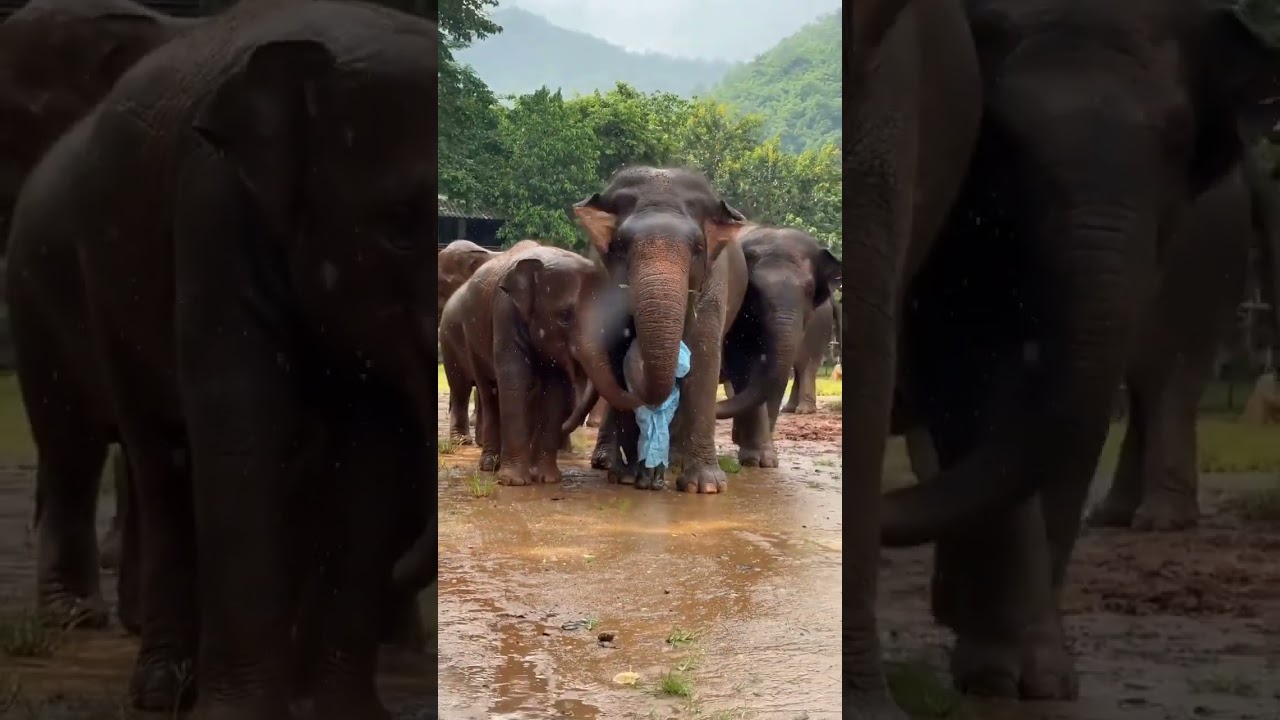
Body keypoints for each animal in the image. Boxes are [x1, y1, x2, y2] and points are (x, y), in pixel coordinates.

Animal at [5, 2, 437, 718]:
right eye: (399, 228)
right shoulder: (214, 205)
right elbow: (242, 432)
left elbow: (372, 456)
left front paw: (340, 712)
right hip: (72, 284)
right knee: (133, 453)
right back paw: (136, 669)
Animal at [440, 244, 611, 485]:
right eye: (564, 316)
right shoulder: (505, 311)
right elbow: (514, 381)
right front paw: (514, 482)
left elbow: (555, 390)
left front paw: (547, 479)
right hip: (465, 335)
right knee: (483, 390)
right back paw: (487, 463)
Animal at [570, 166, 749, 493]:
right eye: (621, 246)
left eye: (698, 248)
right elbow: (616, 358)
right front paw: (629, 477)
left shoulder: (715, 281)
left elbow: (704, 356)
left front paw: (704, 487)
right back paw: (610, 464)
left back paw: (674, 462)